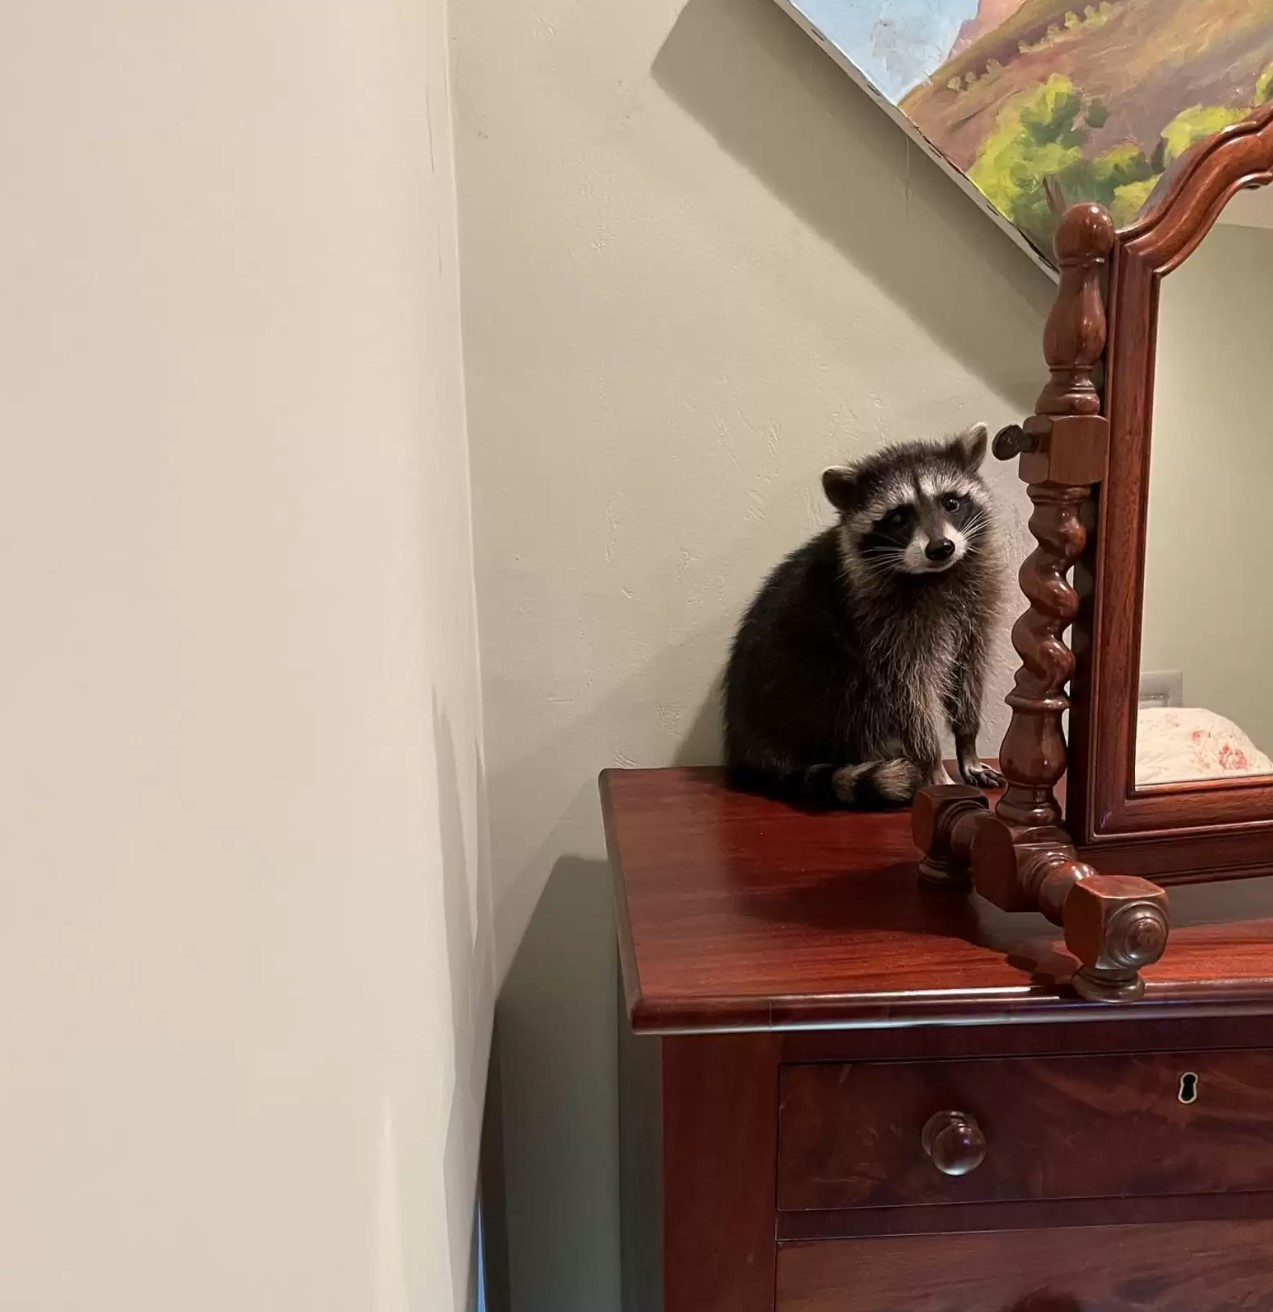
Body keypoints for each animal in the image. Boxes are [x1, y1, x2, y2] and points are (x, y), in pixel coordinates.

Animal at [723, 424, 1005, 809]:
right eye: (898, 517)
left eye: (951, 502)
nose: (941, 548)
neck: (934, 575)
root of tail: (747, 750)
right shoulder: (883, 633)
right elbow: (909, 698)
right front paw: (933, 764)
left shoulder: (974, 611)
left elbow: (967, 676)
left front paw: (967, 745)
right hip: (810, 693)